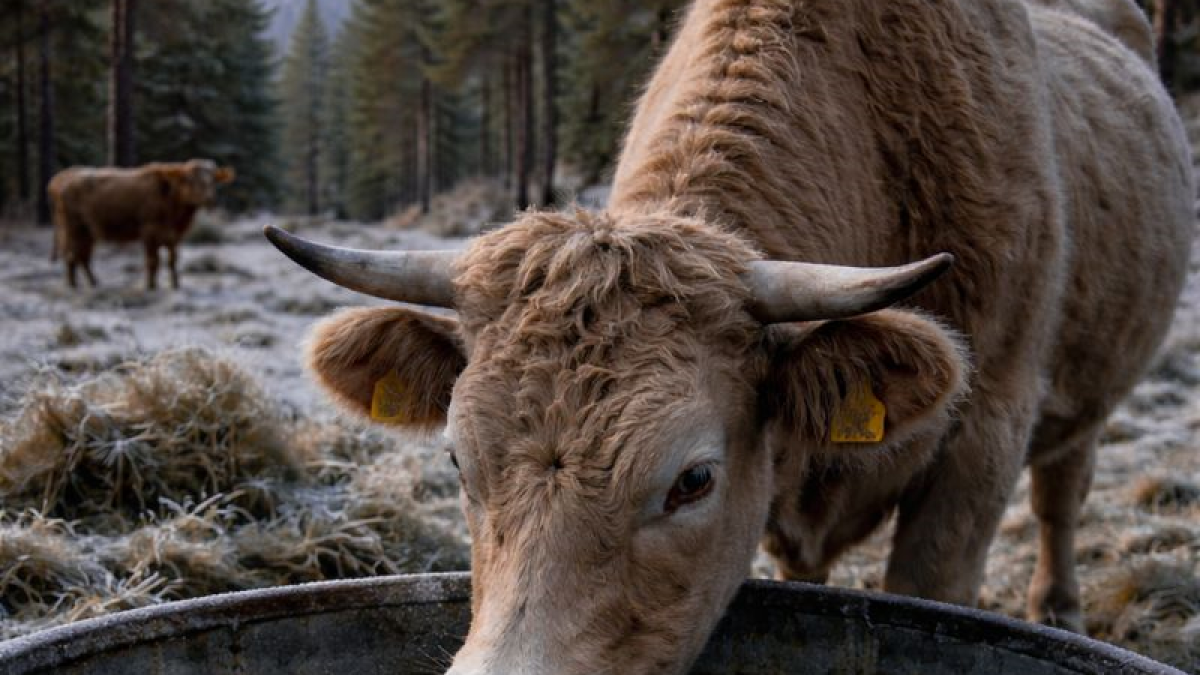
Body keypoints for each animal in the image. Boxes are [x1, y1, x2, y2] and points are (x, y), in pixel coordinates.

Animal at [49, 159, 235, 290]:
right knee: (72, 256)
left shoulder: (173, 236)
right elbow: (153, 261)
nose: (210, 199)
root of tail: (60, 179)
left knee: (82, 257)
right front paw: (151, 286)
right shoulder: (149, 231)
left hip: (88, 231)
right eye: (190, 180)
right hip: (73, 228)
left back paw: (94, 283)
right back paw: (74, 285)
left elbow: (172, 260)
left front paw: (175, 285)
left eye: (213, 180)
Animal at [266, 0, 1193, 673]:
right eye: (458, 460)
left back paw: (1059, 602)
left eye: (693, 480)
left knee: (1061, 492)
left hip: (1081, 400)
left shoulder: (981, 443)